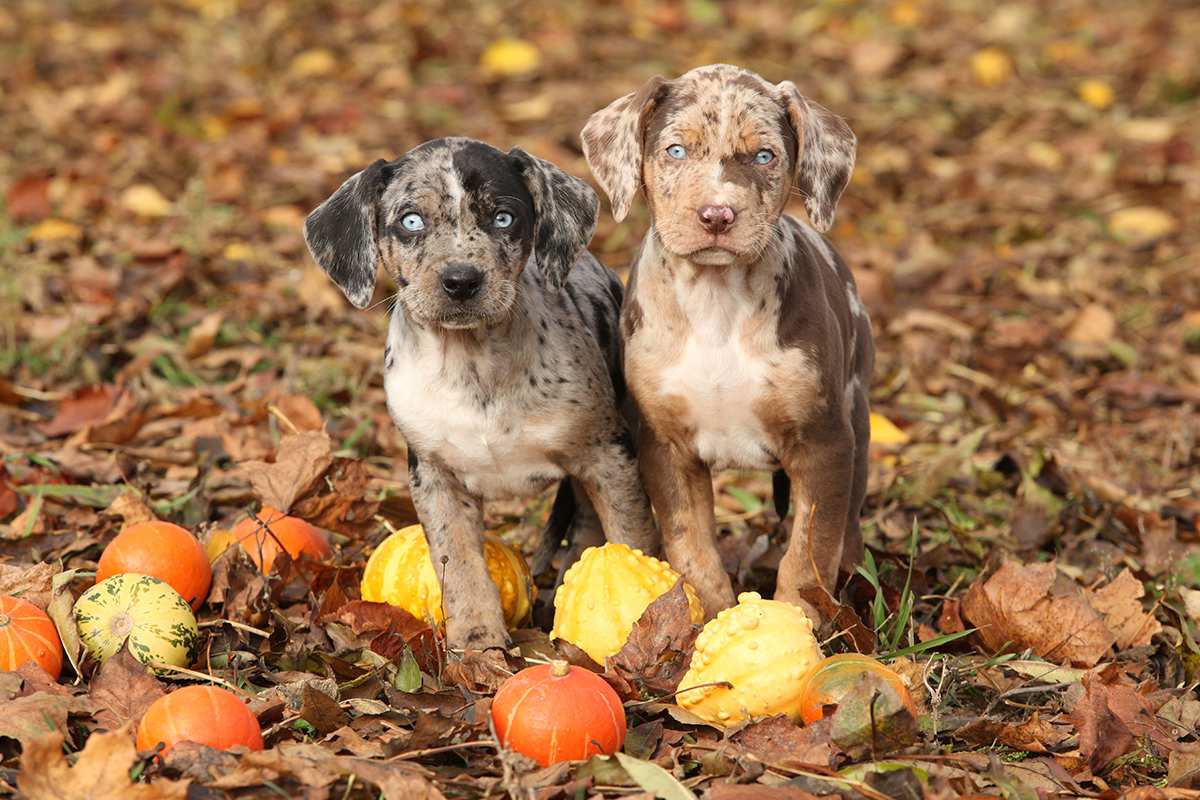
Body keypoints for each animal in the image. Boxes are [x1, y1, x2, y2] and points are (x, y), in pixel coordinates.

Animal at [300, 137, 657, 652]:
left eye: (503, 218)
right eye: (411, 221)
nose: (461, 281)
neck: (471, 365)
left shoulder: (608, 455)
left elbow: (633, 538)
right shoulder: (434, 476)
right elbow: (460, 562)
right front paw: (476, 638)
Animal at [580, 65, 873, 623]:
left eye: (764, 156)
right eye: (675, 150)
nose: (717, 215)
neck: (717, 303)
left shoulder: (825, 442)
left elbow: (810, 550)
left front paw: (797, 620)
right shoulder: (664, 446)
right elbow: (690, 545)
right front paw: (703, 617)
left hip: (859, 418)